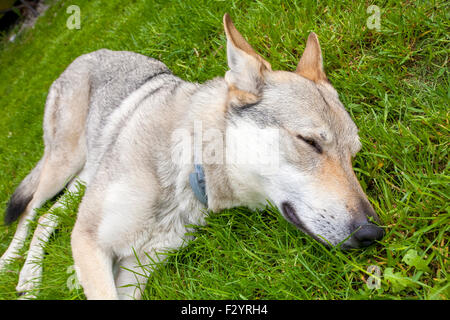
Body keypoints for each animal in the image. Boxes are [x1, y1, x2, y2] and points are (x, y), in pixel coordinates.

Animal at [0, 14, 384, 300]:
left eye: (353, 156)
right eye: (309, 142)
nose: (373, 232)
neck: (186, 174)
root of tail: (84, 55)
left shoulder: (133, 271)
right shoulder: (87, 241)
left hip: (84, 180)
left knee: (48, 216)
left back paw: (29, 276)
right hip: (63, 164)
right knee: (30, 211)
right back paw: (14, 266)